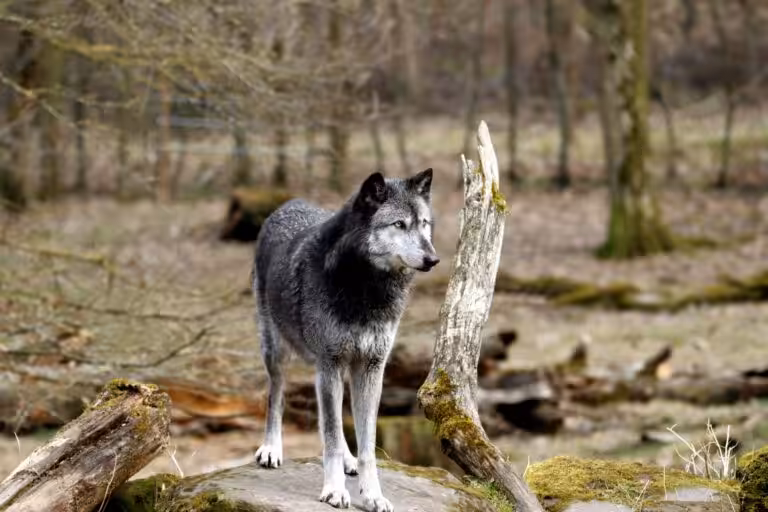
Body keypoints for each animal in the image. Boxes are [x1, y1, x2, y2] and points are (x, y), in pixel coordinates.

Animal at [251, 169, 439, 512]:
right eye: (399, 224)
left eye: (423, 223)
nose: (433, 259)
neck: (367, 288)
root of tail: (288, 203)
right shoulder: (330, 363)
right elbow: (331, 436)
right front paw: (334, 491)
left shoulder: (371, 368)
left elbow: (365, 444)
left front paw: (373, 494)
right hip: (277, 353)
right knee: (277, 397)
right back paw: (272, 448)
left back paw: (348, 462)